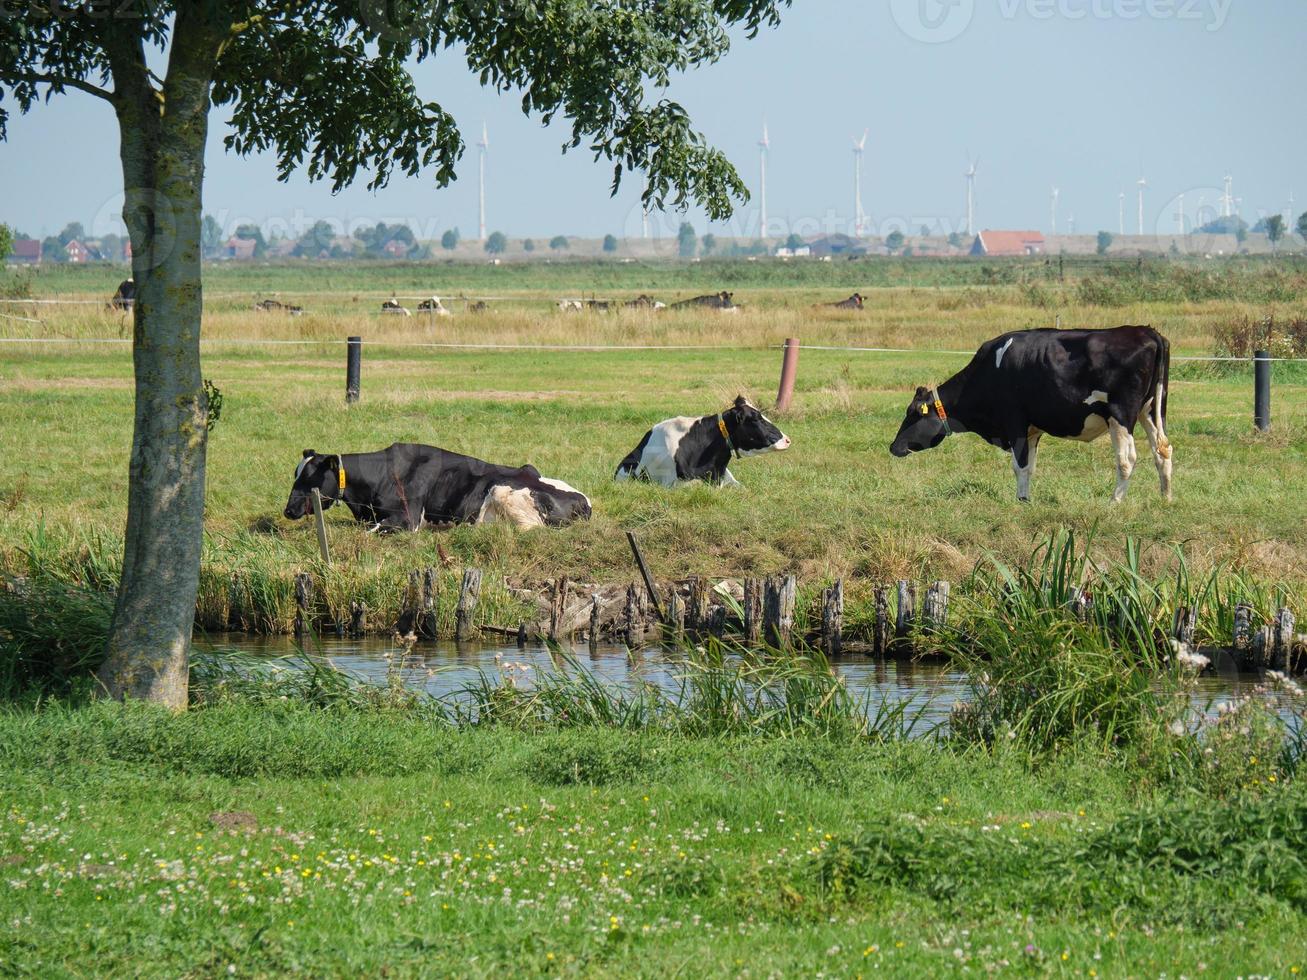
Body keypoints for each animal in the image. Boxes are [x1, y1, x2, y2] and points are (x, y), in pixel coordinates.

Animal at [288, 446, 595, 533]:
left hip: (504, 494)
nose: (288, 510)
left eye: (309, 479)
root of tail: (584, 502)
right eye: (295, 475)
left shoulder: (409, 518)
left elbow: (370, 532)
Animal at [888, 326, 1176, 501]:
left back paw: (1115, 501)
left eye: (913, 413)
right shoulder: (1032, 429)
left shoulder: (1014, 421)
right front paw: (1025, 499)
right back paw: (1165, 498)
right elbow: (1031, 466)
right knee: (1162, 451)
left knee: (1127, 459)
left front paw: (1021, 501)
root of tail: (1146, 331)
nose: (893, 446)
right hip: (1151, 410)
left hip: (1121, 415)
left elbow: (1019, 465)